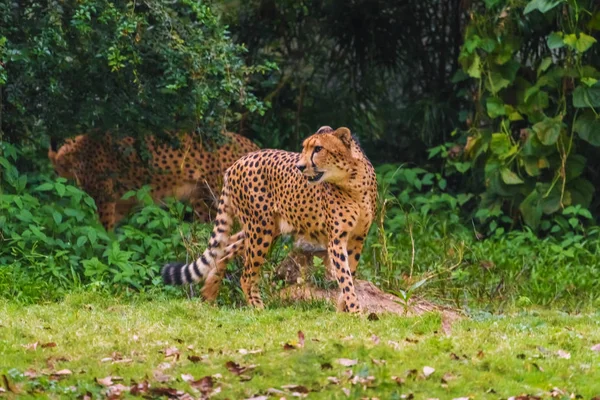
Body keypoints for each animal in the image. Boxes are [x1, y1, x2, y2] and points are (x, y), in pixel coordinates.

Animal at [163, 126, 380, 312]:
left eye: (318, 149)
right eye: (305, 148)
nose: (300, 166)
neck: (353, 181)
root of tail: (237, 162)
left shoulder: (357, 238)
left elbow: (350, 274)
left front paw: (343, 312)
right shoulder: (336, 239)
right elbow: (345, 278)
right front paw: (355, 313)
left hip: (267, 229)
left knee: (226, 245)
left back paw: (209, 294)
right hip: (261, 229)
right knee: (245, 275)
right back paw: (257, 308)